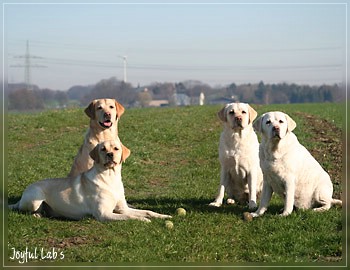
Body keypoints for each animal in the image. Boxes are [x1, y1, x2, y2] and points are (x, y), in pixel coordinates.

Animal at [8, 138, 172, 223]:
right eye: (103, 149)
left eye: (116, 148)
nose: (110, 155)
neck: (110, 178)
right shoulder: (104, 214)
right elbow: (129, 216)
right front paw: (142, 220)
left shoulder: (123, 208)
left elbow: (148, 211)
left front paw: (163, 216)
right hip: (34, 199)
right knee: (24, 210)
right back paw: (36, 214)